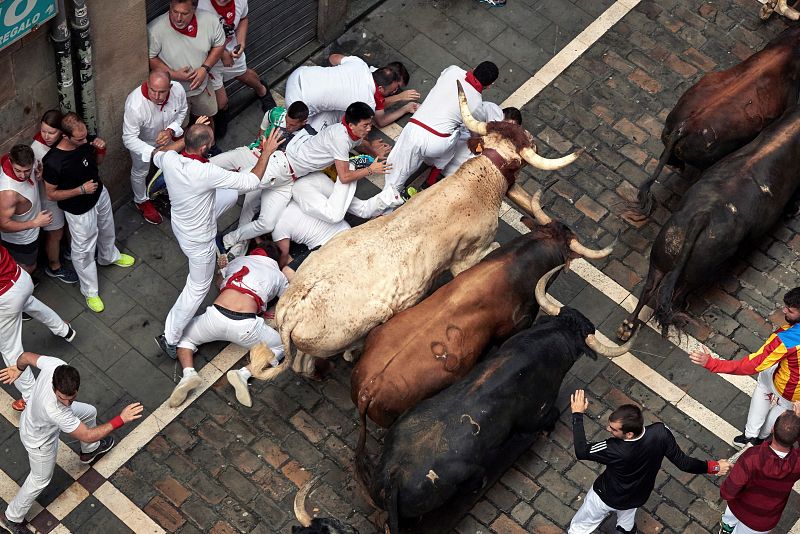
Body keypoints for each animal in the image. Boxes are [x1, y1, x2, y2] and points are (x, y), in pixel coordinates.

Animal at [360, 308, 596, 532]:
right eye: (584, 333)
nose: (591, 324)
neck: (552, 336)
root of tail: (394, 475)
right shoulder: (534, 415)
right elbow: (551, 414)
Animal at [620, 105, 800, 342]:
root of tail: (702, 216)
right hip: (696, 273)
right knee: (675, 296)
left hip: (663, 250)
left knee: (649, 288)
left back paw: (627, 326)